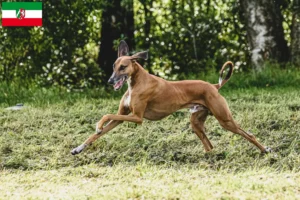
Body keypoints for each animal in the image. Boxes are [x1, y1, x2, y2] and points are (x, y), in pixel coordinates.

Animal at [71, 40, 272, 155]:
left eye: (123, 67)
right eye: (114, 66)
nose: (110, 81)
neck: (136, 82)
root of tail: (214, 86)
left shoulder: (137, 117)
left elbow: (106, 116)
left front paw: (98, 125)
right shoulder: (122, 117)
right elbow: (95, 134)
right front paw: (78, 148)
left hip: (225, 120)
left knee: (249, 134)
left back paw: (266, 150)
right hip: (196, 122)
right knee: (209, 146)